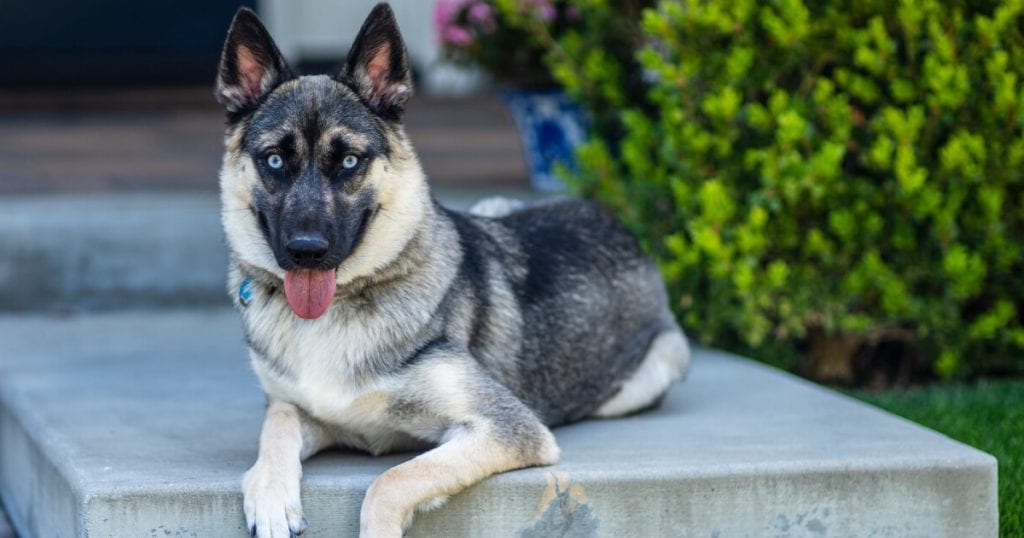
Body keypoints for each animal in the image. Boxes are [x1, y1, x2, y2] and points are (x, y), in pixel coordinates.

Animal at [214, 3, 688, 532]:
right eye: (274, 160)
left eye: (351, 161)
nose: (306, 250)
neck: (344, 301)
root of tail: (613, 221)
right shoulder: (298, 408)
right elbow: (277, 424)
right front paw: (271, 495)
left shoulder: (504, 427)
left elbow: (390, 481)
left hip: (659, 366)